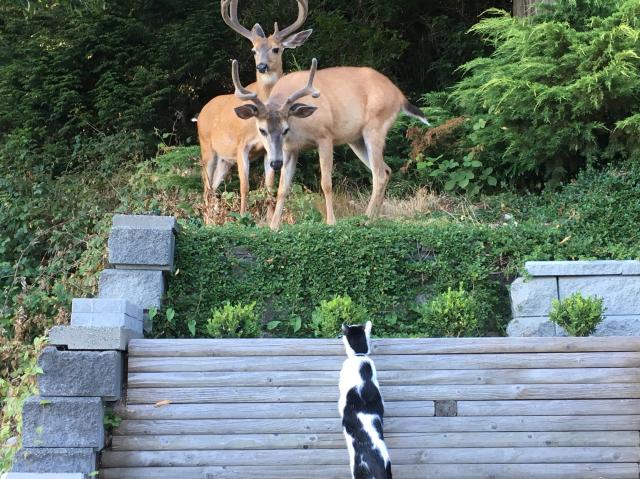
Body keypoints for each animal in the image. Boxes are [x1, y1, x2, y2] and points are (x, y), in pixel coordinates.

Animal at [198, 0, 312, 216]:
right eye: (253, 50)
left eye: (276, 49)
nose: (262, 66)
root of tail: (201, 113)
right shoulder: (241, 145)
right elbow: (245, 186)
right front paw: (243, 218)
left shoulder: (268, 150)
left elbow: (268, 186)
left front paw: (267, 219)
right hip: (207, 148)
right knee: (205, 188)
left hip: (225, 159)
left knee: (213, 188)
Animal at [231, 58, 430, 231]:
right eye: (262, 130)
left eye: (285, 129)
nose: (275, 163)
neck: (298, 126)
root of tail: (399, 95)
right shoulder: (290, 150)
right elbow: (283, 188)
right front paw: (273, 226)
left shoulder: (325, 136)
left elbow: (326, 182)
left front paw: (331, 221)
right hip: (356, 139)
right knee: (386, 170)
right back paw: (375, 218)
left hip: (375, 127)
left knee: (379, 174)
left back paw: (365, 219)